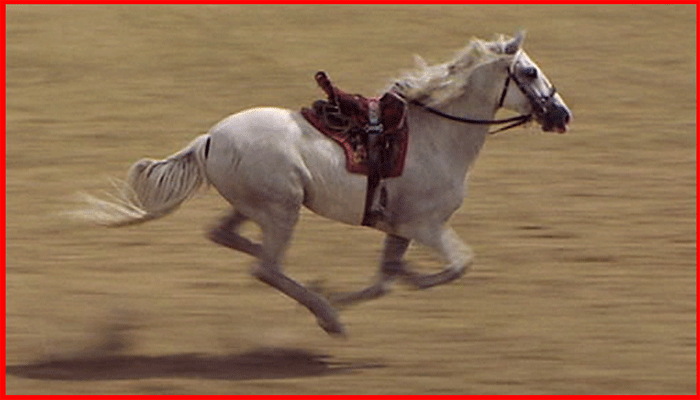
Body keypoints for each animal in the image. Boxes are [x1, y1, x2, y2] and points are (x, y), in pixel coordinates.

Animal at [76, 32, 571, 336]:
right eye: (529, 73)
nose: (561, 115)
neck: (438, 134)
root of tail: (209, 139)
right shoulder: (425, 226)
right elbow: (455, 267)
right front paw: (342, 303)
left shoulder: (400, 230)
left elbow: (386, 281)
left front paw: (381, 281)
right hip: (282, 209)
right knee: (267, 268)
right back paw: (327, 314)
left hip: (259, 207)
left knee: (228, 238)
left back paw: (312, 293)